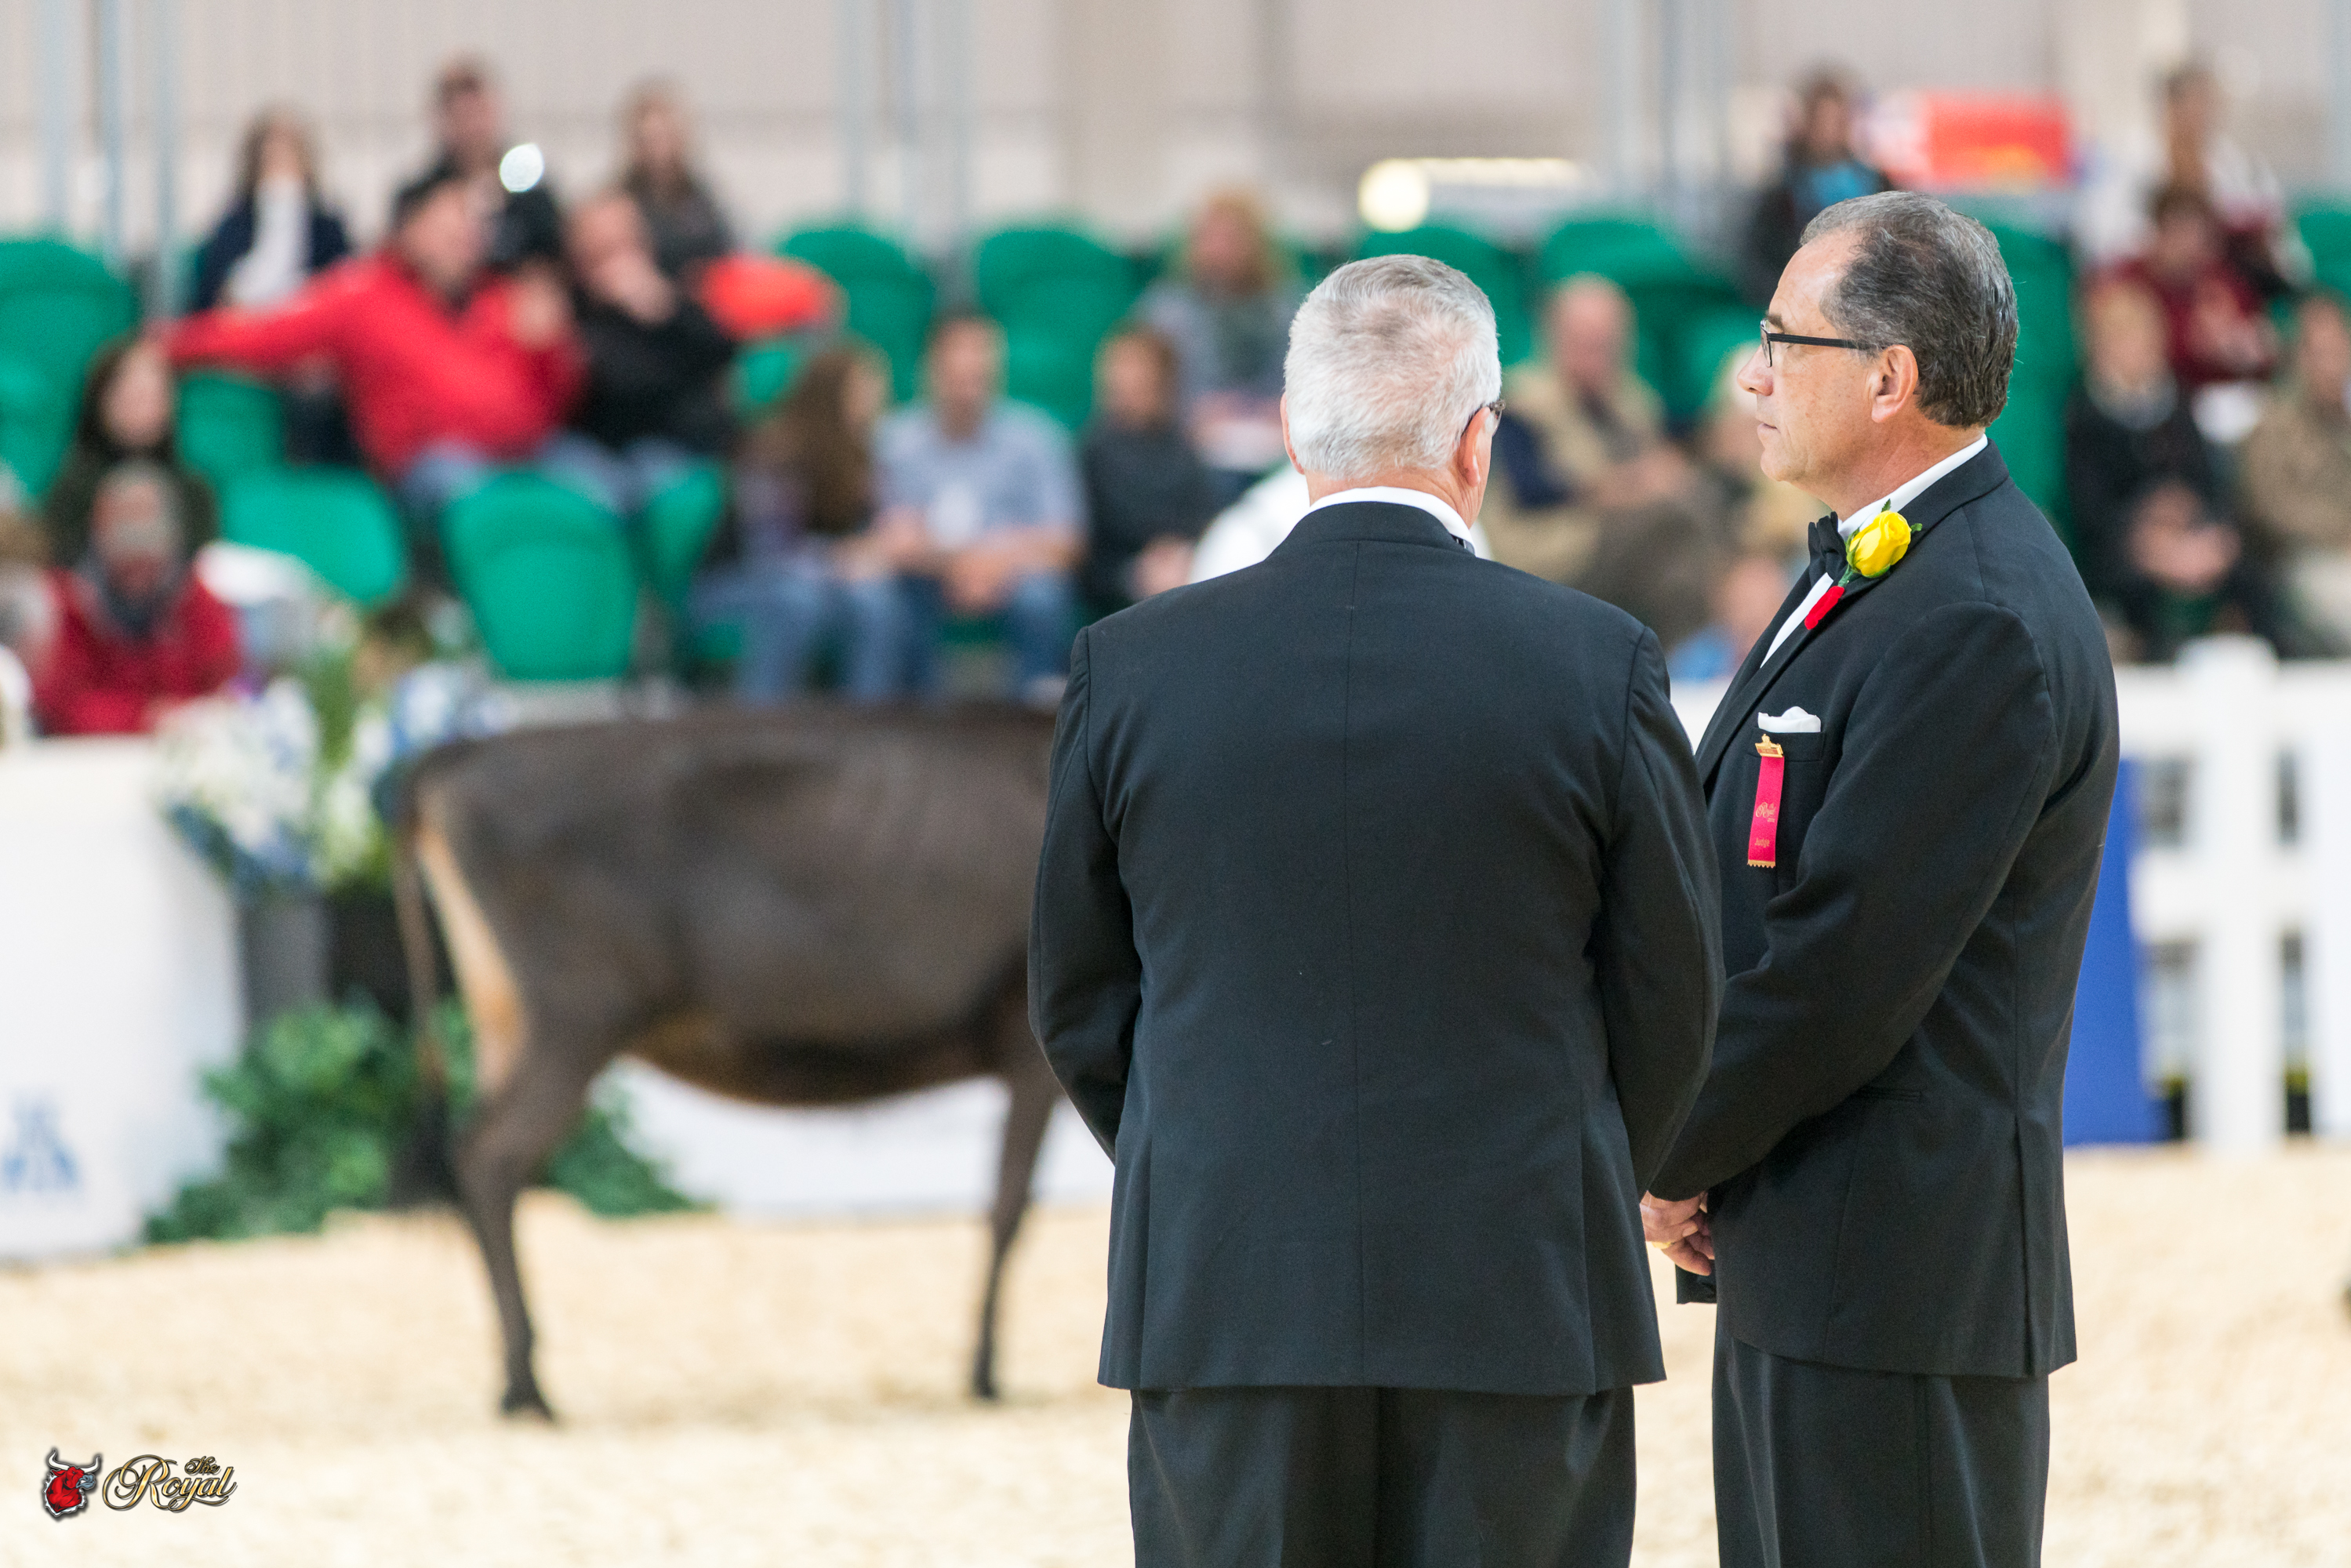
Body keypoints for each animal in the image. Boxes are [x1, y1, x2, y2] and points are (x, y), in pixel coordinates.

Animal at [392, 703, 1062, 1419]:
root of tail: (461, 752)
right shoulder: (1025, 1043)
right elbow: (1009, 1208)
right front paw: (985, 1376)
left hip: (505, 1010)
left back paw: (512, 1383)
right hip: (577, 1012)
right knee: (491, 1156)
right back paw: (529, 1388)